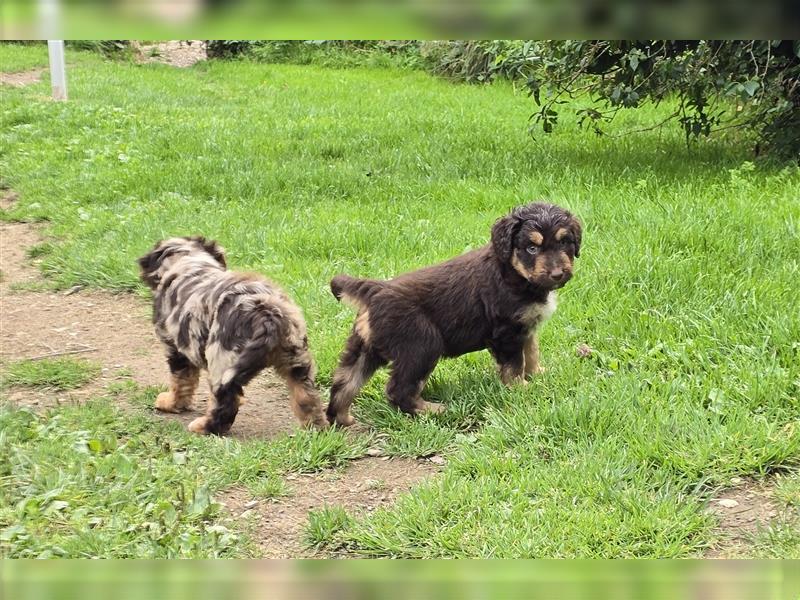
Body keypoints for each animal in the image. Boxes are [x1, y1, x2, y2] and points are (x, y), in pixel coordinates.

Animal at [139, 236, 326, 436]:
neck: (189, 260)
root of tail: (267, 313)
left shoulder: (175, 348)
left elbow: (180, 381)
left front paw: (170, 403)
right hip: (296, 358)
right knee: (306, 397)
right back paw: (315, 428)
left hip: (221, 357)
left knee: (225, 401)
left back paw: (204, 427)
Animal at [324, 202, 580, 426]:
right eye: (532, 248)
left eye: (564, 242)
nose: (558, 274)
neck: (515, 274)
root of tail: (375, 290)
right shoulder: (507, 332)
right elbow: (515, 365)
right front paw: (521, 389)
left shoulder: (526, 328)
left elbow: (532, 352)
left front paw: (537, 375)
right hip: (421, 346)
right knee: (398, 390)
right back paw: (433, 410)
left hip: (364, 349)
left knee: (344, 384)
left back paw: (343, 419)